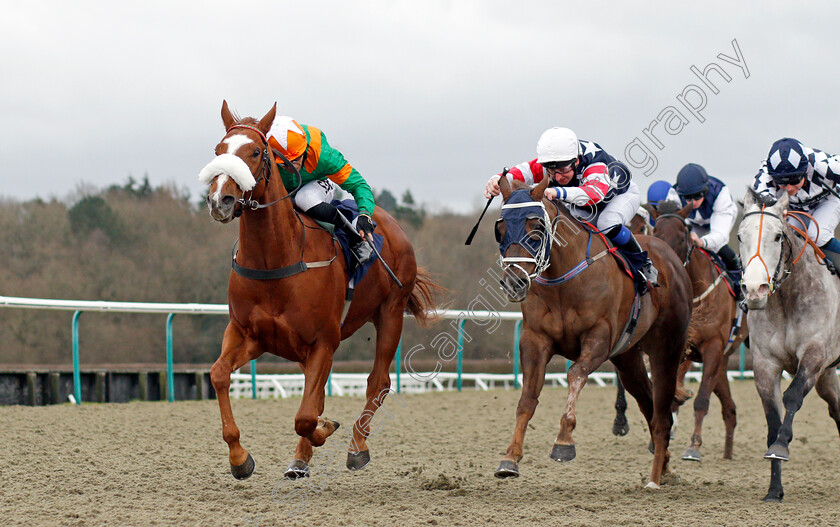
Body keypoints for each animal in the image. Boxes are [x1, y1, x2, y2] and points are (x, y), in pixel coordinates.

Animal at [202, 101, 440, 480]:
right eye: (217, 151)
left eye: (255, 152)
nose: (220, 200)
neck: (276, 260)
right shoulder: (247, 334)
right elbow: (220, 374)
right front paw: (240, 458)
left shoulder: (324, 340)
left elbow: (305, 416)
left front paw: (324, 430)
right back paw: (302, 458)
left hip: (390, 312)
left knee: (378, 382)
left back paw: (357, 447)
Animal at [492, 178, 688, 490]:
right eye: (499, 229)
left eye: (536, 227)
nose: (514, 282)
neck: (563, 281)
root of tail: (671, 257)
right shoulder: (535, 339)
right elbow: (528, 397)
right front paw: (510, 457)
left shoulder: (599, 336)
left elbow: (575, 375)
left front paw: (563, 441)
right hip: (628, 358)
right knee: (648, 403)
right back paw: (665, 464)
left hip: (666, 349)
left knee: (662, 412)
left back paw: (655, 477)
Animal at [648, 202, 744, 462]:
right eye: (655, 233)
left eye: (682, 237)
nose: (663, 266)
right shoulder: (681, 348)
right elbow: (671, 393)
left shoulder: (713, 347)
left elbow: (701, 400)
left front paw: (693, 446)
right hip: (722, 363)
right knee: (730, 409)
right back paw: (728, 452)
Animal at [740, 188, 840, 502]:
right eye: (740, 236)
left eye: (777, 236)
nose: (755, 290)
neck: (787, 300)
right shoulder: (765, 364)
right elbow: (772, 419)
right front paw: (774, 490)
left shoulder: (813, 354)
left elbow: (793, 396)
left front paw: (781, 446)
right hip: (828, 375)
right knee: (836, 407)